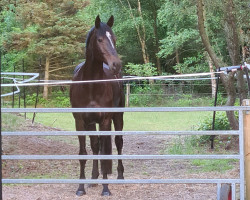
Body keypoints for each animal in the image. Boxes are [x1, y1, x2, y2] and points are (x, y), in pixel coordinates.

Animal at [69, 14, 124, 196]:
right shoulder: (80, 121)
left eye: (114, 38)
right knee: (95, 146)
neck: (91, 85)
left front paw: (106, 189)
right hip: (91, 123)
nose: (116, 64)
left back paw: (120, 176)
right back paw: (93, 179)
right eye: (100, 39)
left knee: (118, 142)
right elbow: (83, 153)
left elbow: (106, 154)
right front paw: (80, 188)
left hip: (118, 116)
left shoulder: (105, 120)